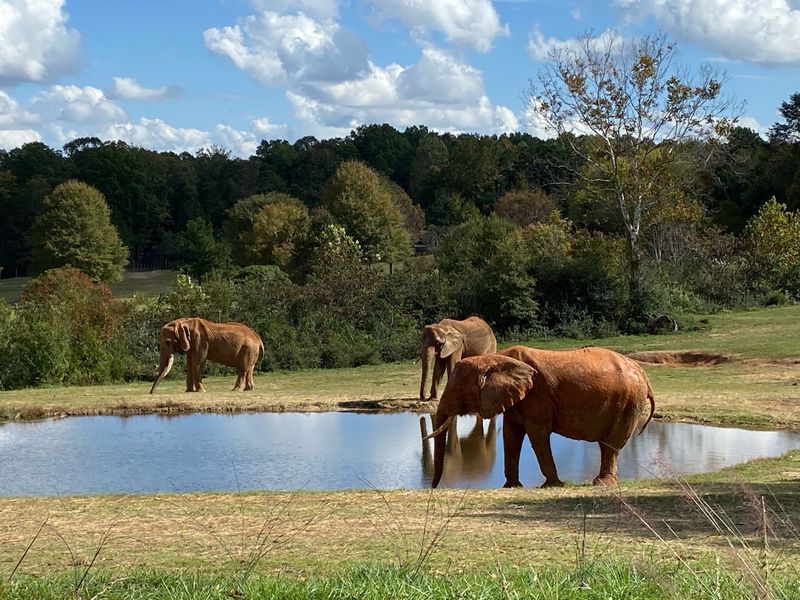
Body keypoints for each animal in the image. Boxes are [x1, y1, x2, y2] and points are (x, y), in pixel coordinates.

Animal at [425, 345, 655, 488]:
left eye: (458, 390)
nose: (433, 488)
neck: (496, 357)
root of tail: (643, 374)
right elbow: (511, 435)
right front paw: (511, 487)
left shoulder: (537, 395)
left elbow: (538, 435)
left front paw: (552, 485)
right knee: (605, 444)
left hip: (628, 402)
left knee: (612, 444)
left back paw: (602, 483)